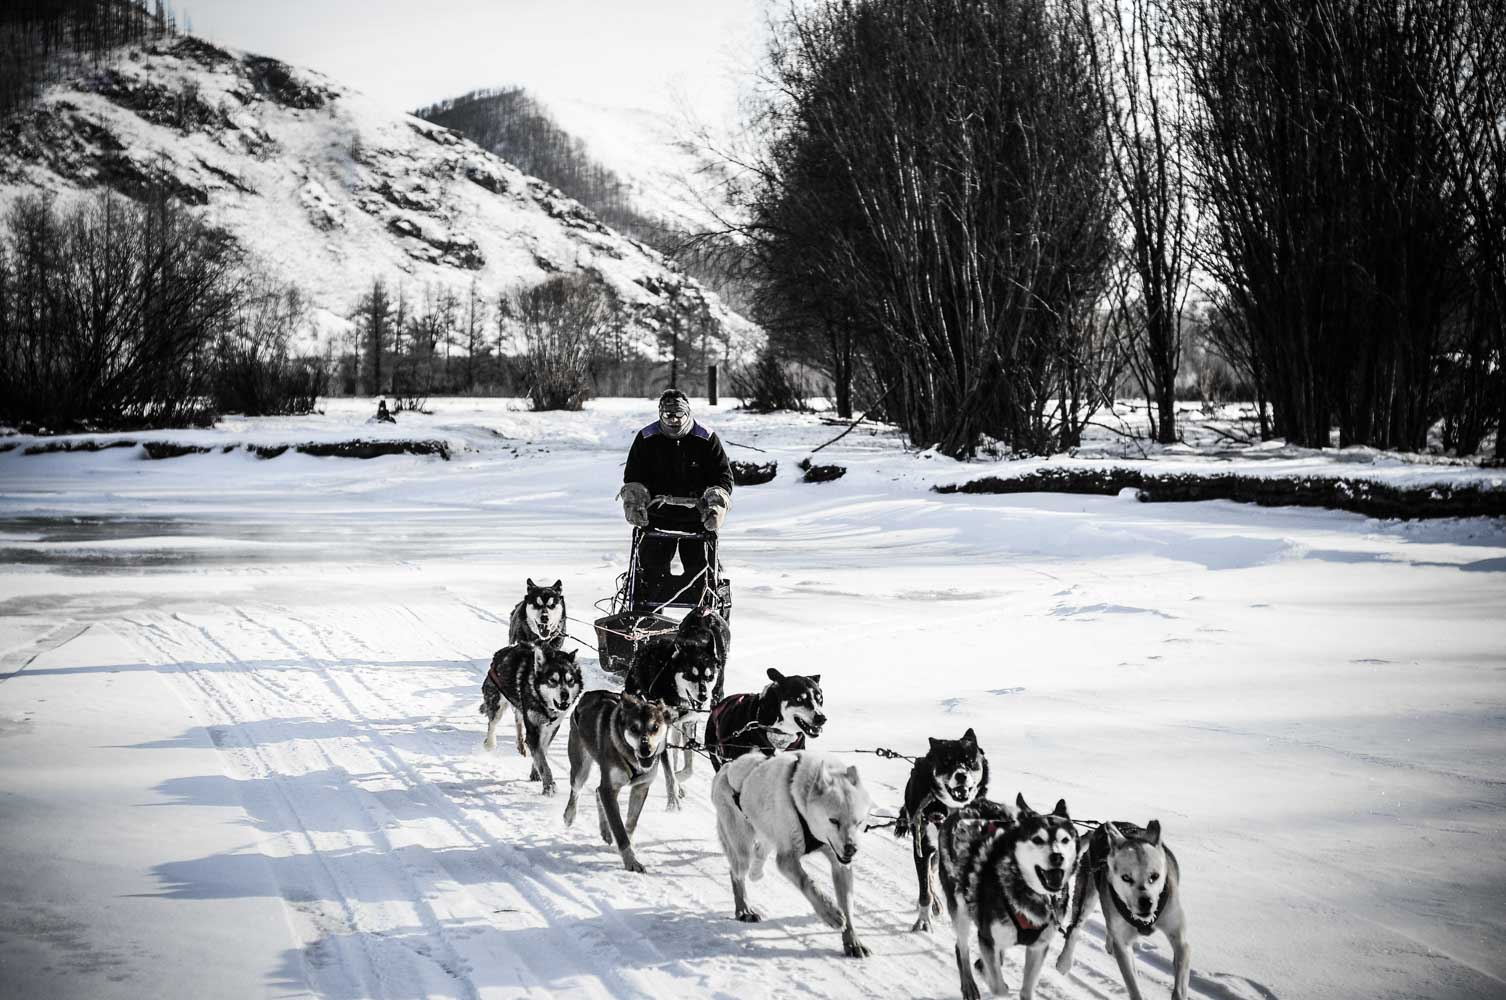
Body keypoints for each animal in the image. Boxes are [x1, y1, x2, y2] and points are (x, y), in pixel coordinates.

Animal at [566, 692, 671, 873]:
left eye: (655, 727)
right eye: (634, 728)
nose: (646, 750)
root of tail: (586, 696)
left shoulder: (640, 788)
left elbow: (630, 823)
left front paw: (628, 847)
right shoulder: (610, 788)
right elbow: (619, 829)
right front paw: (631, 861)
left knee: (597, 791)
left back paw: (606, 831)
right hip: (581, 769)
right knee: (577, 790)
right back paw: (569, 816)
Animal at [710, 753, 879, 957]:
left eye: (859, 822)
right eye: (833, 820)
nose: (851, 848)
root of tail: (726, 768)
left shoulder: (840, 864)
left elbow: (847, 905)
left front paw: (852, 941)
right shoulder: (787, 859)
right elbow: (808, 883)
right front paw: (830, 913)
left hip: (767, 834)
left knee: (758, 856)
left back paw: (756, 874)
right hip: (742, 850)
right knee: (736, 874)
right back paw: (744, 909)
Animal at [891, 725, 987, 927]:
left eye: (970, 761)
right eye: (947, 762)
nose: (961, 775)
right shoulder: (923, 847)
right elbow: (925, 889)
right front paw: (923, 921)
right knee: (928, 879)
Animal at [939, 795, 1084, 1000]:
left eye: (1065, 840)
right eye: (1037, 839)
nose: (1057, 856)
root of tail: (966, 807)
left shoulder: (1038, 948)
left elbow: (1027, 990)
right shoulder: (986, 938)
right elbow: (999, 988)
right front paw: (991, 978)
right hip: (960, 911)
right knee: (962, 948)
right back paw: (968, 984)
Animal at [1054, 819, 1192, 1000]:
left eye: (1154, 876)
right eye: (1126, 877)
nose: (1146, 903)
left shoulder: (1180, 941)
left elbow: (1180, 984)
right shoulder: (1123, 946)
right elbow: (1133, 987)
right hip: (1087, 898)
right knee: (1075, 928)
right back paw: (1064, 961)